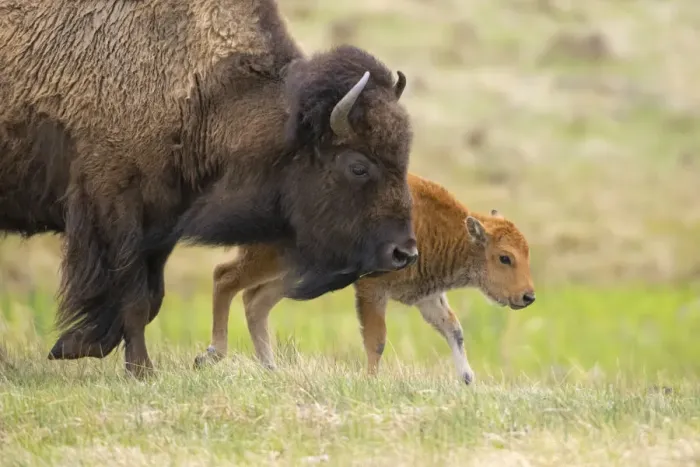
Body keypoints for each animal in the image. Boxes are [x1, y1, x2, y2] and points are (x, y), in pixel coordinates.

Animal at [0, 0, 418, 377]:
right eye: (358, 166)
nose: (404, 253)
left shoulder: (160, 225)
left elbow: (151, 299)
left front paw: (76, 347)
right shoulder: (115, 208)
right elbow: (133, 299)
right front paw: (137, 369)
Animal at [194, 173, 536, 385]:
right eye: (505, 257)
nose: (528, 296)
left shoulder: (426, 297)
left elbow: (454, 328)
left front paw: (467, 378)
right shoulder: (373, 291)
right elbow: (377, 339)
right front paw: (371, 380)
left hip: (292, 275)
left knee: (256, 302)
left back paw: (270, 368)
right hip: (271, 260)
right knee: (225, 279)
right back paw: (212, 354)